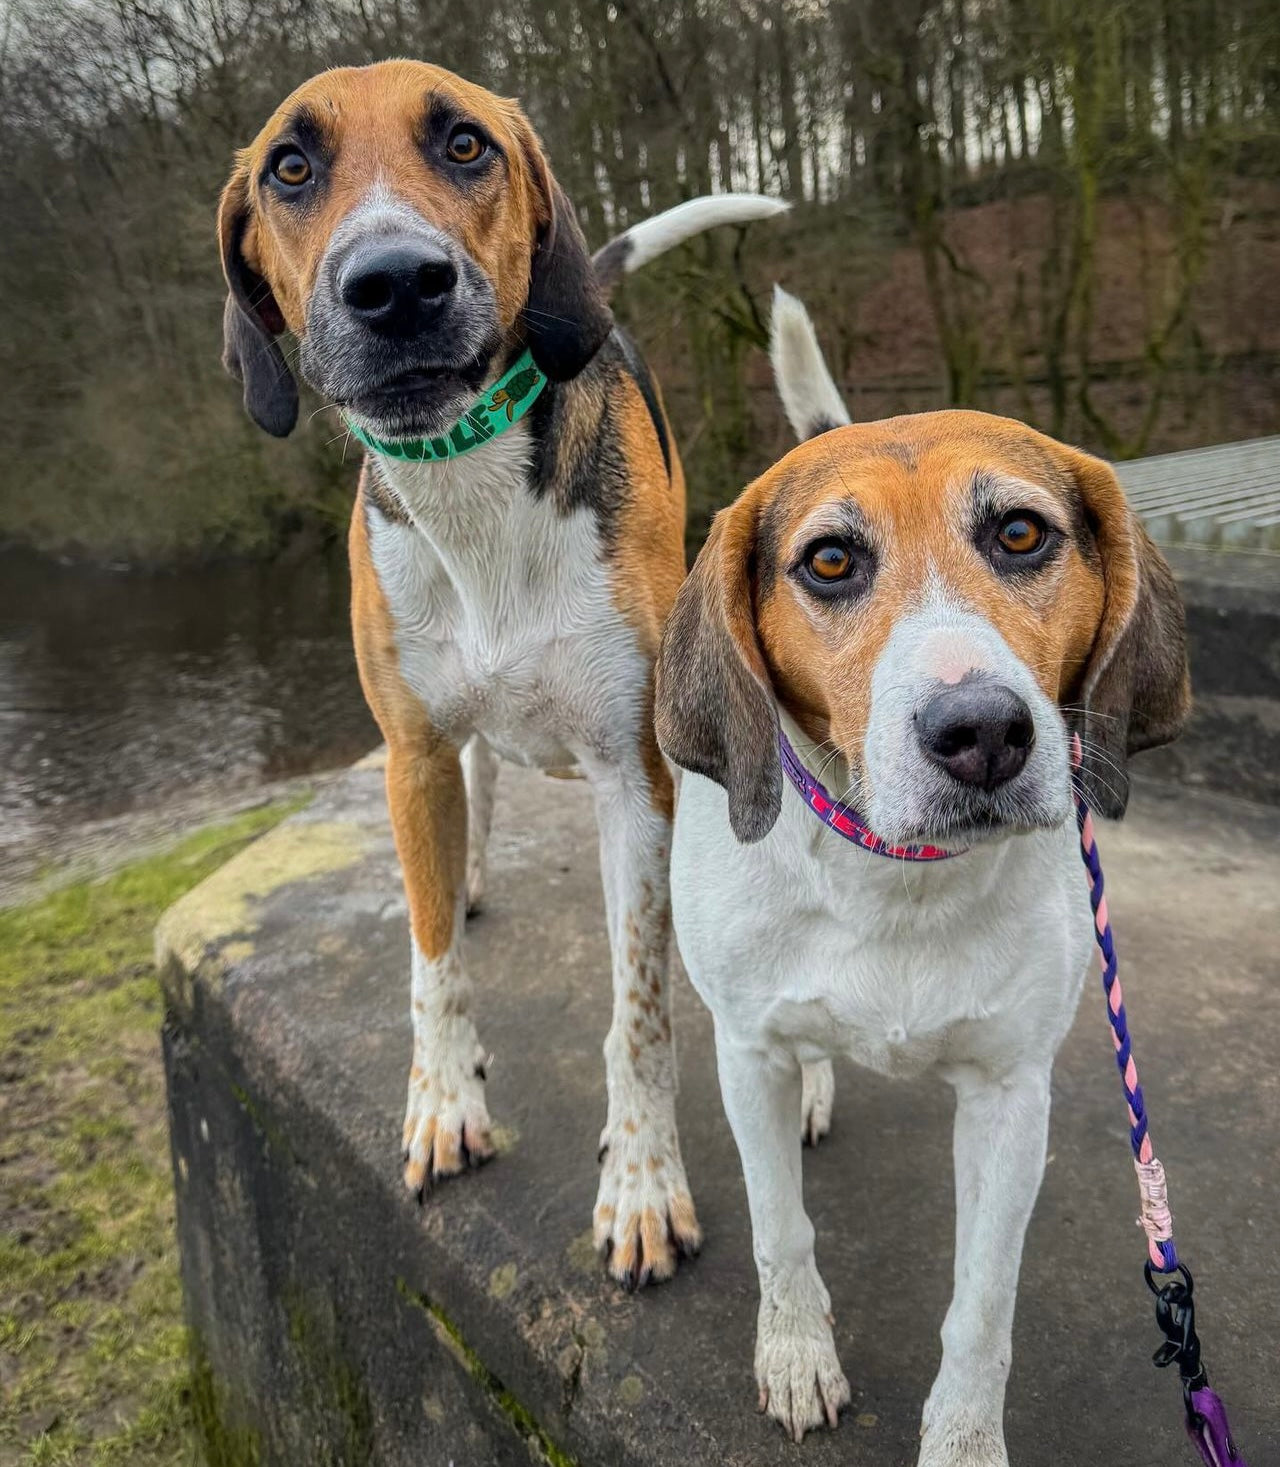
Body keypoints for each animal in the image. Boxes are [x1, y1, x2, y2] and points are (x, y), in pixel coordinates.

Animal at [214, 63, 785, 1290]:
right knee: (471, 794)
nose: (394, 284)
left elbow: (639, 1011)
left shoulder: (632, 776)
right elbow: (430, 965)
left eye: (465, 144)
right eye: (291, 167)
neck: (468, 477)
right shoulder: (412, 752)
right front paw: (441, 1100)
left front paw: (642, 1181)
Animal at [653, 288, 1196, 1455]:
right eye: (828, 561)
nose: (983, 732)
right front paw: (796, 1355)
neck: (894, 875)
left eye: (1020, 533)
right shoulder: (745, 1055)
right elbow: (780, 1233)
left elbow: (981, 1308)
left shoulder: (1009, 1098)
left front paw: (962, 1440)